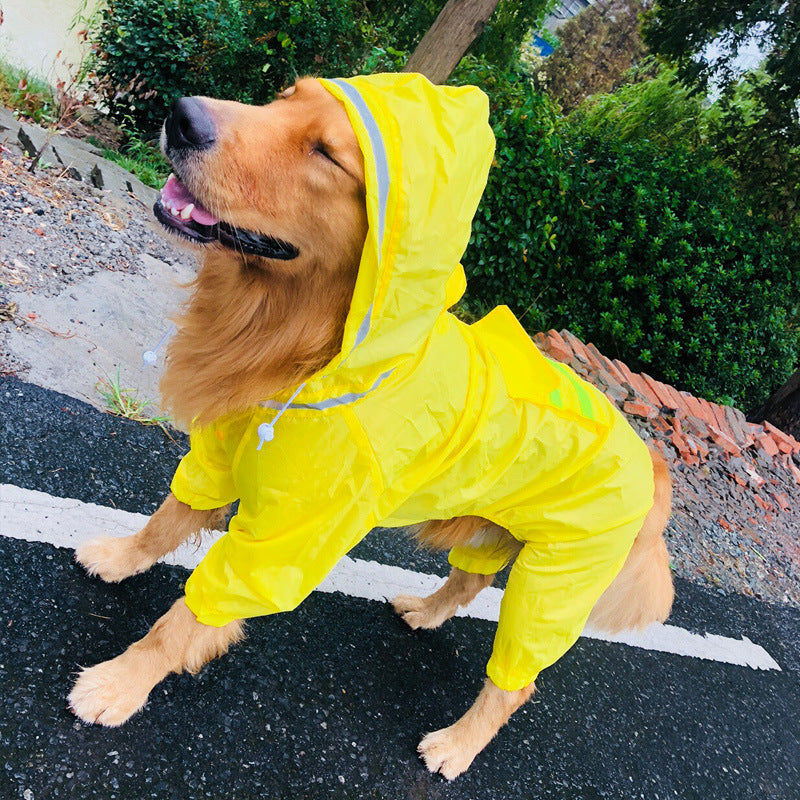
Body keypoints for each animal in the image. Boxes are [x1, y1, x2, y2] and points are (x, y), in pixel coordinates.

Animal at [69, 76, 672, 780]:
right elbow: (167, 519)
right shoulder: (220, 451)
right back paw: (426, 612)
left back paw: (455, 745)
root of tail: (655, 464)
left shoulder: (290, 537)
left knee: (516, 680)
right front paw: (119, 558)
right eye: (282, 97)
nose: (183, 118)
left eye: (327, 154)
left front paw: (119, 685)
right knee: (470, 580)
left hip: (556, 580)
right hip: (492, 532)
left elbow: (188, 618)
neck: (309, 349)